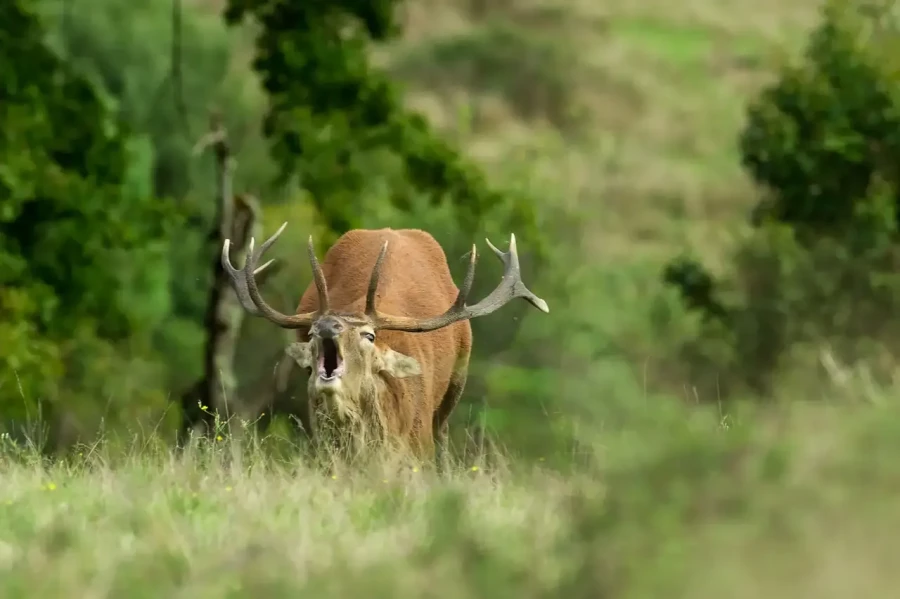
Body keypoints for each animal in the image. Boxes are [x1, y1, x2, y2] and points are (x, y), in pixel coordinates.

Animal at [221, 224, 549, 460]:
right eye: (312, 333)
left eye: (369, 335)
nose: (327, 325)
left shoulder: (418, 443)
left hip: (457, 379)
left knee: (443, 433)